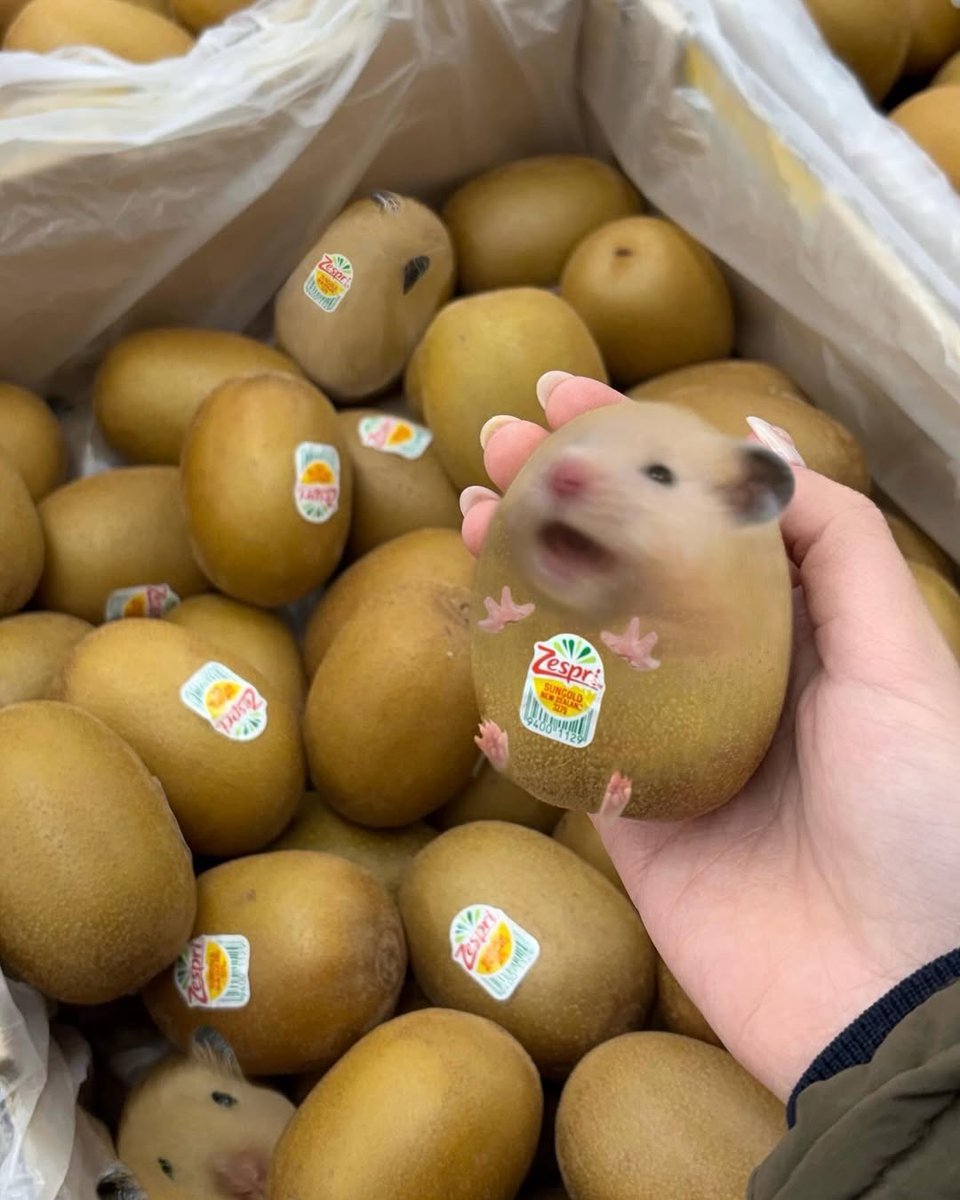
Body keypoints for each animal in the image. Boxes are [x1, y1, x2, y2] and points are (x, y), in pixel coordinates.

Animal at [471, 400, 795, 821]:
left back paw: (615, 792)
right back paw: (492, 738)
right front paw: (504, 610)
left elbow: (647, 656)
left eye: (660, 474)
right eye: (574, 441)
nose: (563, 474)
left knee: (610, 809)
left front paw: (630, 643)